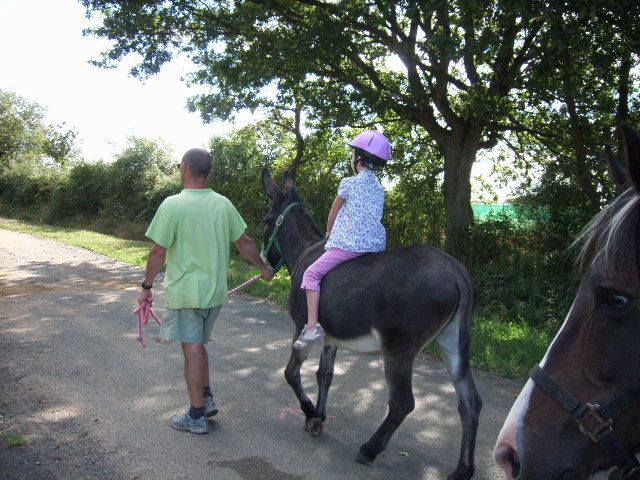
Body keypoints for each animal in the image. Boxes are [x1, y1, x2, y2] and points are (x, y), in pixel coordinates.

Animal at [260, 169, 482, 480]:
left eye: (265, 220)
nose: (264, 267)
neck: (306, 252)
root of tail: (458, 274)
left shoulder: (302, 328)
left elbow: (291, 373)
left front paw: (310, 413)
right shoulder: (330, 337)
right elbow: (324, 375)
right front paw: (319, 417)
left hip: (399, 348)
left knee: (403, 402)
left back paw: (369, 449)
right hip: (452, 343)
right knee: (470, 402)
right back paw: (463, 469)